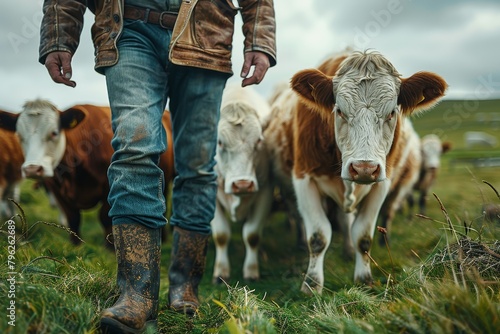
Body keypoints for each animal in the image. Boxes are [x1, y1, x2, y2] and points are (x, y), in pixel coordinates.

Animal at [0, 99, 176, 245]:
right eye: (18, 135)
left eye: (54, 132)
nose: (32, 168)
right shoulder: (57, 190)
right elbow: (73, 219)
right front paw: (76, 247)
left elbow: (105, 218)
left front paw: (109, 248)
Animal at [211, 83, 274, 282]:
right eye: (220, 143)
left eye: (259, 141)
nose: (243, 184)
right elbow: (221, 235)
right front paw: (221, 272)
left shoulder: (265, 191)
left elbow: (252, 235)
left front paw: (251, 271)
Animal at [268, 49, 448, 292]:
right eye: (339, 111)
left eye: (392, 112)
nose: (364, 168)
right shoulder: (303, 179)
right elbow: (318, 237)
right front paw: (311, 284)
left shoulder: (383, 184)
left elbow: (363, 236)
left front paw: (364, 279)